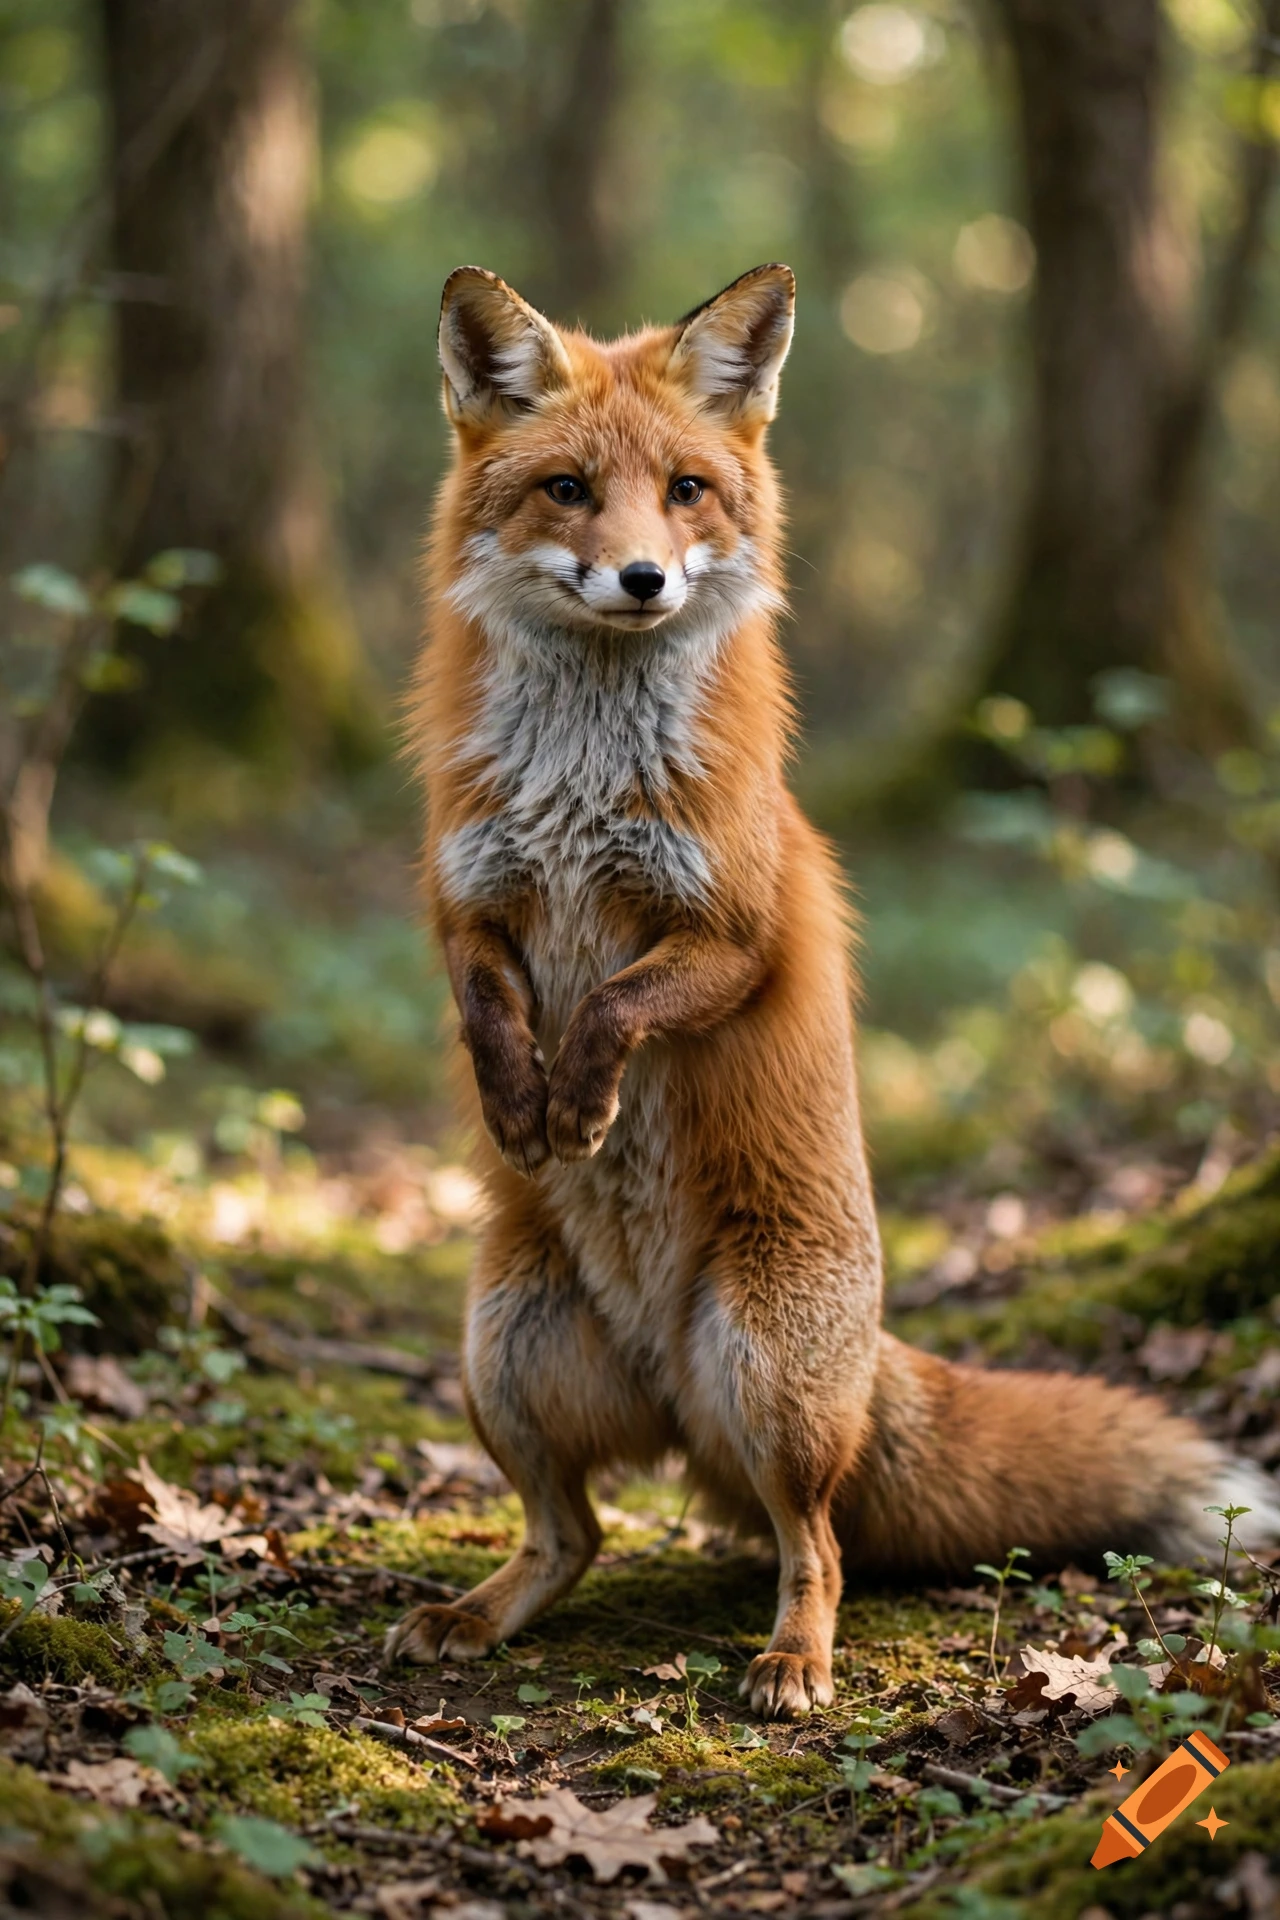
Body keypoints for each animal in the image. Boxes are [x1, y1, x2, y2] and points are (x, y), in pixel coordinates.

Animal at [387, 262, 1280, 1717]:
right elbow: (483, 1005)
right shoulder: (465, 901)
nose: (641, 577)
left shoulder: (733, 930)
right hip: (501, 1357)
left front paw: (576, 1106)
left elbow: (616, 1005)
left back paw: (793, 1661)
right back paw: (481, 1611)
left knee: (816, 1546)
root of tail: (676, 1396)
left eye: (686, 489)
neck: (580, 779)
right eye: (568, 489)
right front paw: (520, 1107)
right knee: (573, 1533)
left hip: (771, 1380)